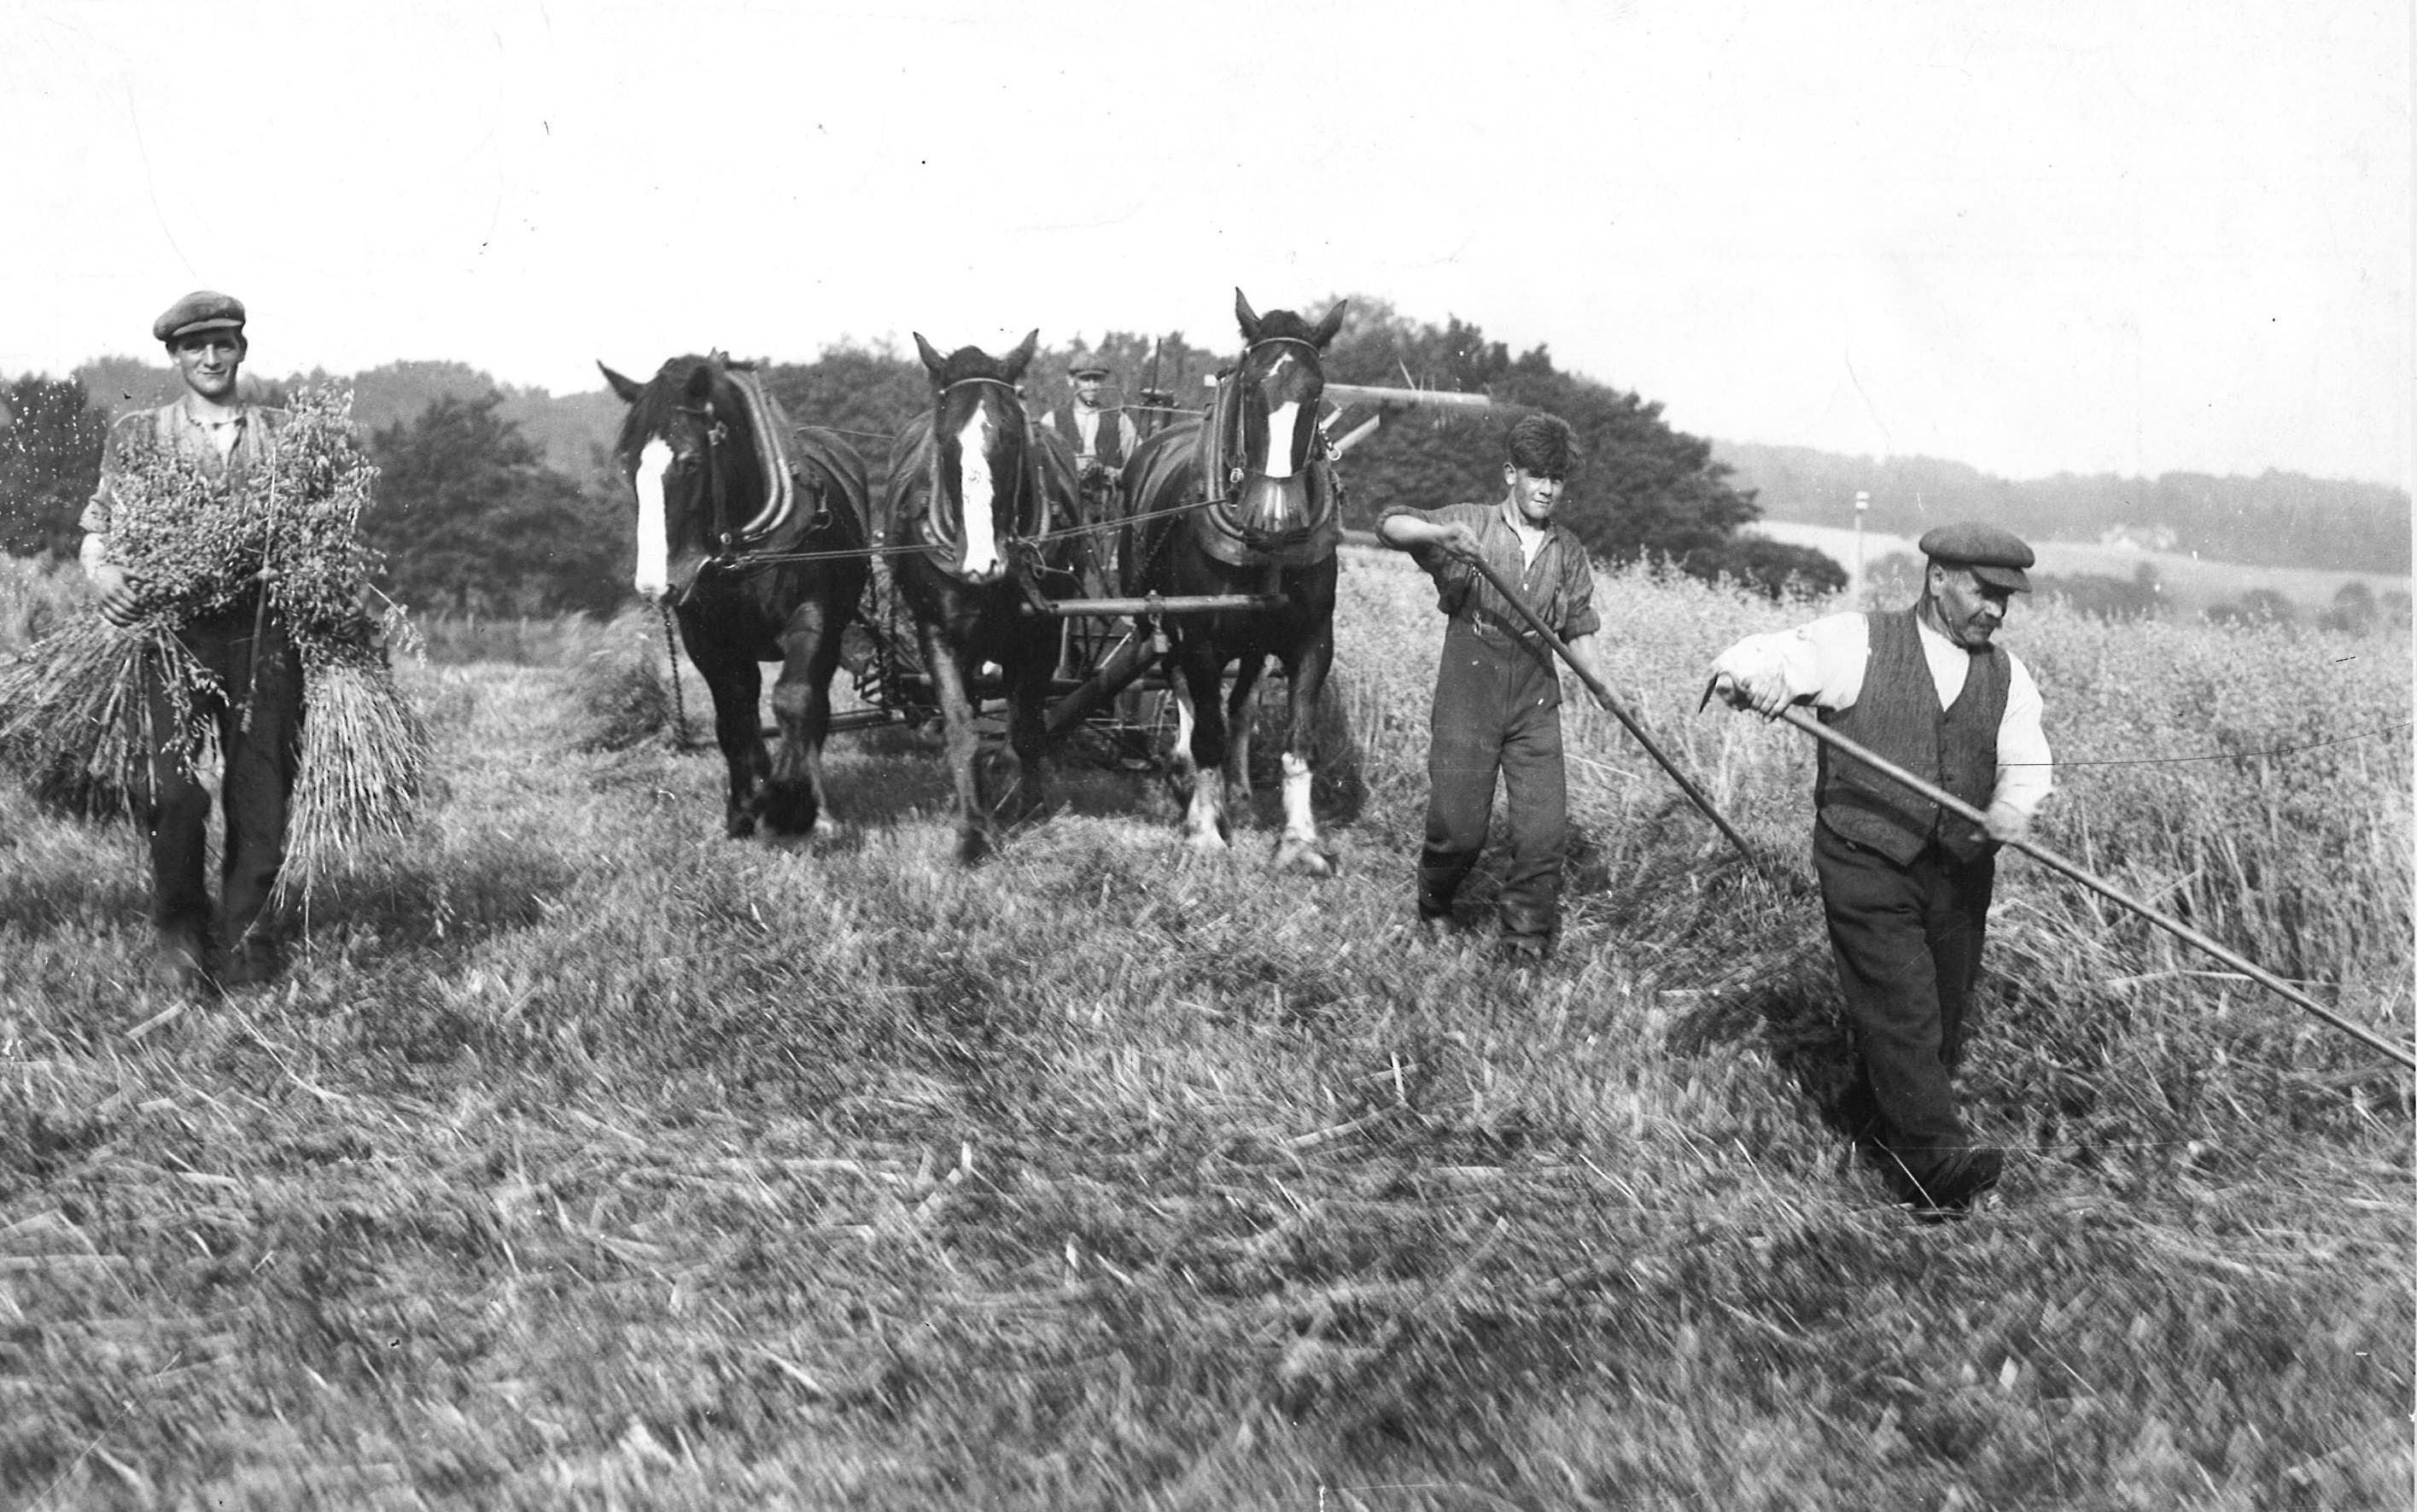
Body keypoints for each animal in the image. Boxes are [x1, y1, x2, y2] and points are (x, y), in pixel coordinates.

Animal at [599, 354, 874, 849]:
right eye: (630, 467)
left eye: (690, 464)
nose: (656, 585)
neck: (742, 548)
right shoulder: (708, 640)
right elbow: (734, 715)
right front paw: (746, 807)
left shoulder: (813, 620)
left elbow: (795, 701)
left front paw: (789, 808)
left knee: (815, 707)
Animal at [884, 328, 1083, 860]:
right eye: (943, 438)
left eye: (1011, 435)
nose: (980, 563)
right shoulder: (937, 633)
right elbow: (961, 729)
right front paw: (974, 829)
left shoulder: (1040, 634)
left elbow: (1027, 728)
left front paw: (1031, 811)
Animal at [1121, 287, 1353, 864]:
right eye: (1249, 388)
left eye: (1317, 392)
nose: (1274, 519)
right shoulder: (1199, 637)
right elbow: (1206, 728)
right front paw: (1205, 832)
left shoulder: (1312, 638)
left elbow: (1297, 739)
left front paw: (1300, 842)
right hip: (1158, 620)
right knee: (1185, 692)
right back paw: (1190, 783)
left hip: (1253, 641)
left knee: (1242, 703)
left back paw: (1240, 794)